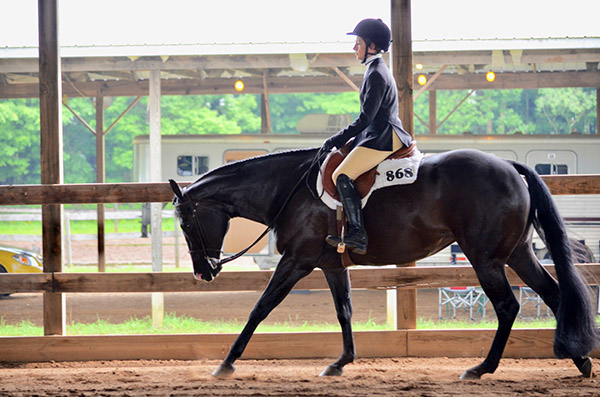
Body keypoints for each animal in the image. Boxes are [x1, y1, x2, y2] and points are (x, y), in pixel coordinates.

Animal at [170, 148, 600, 378]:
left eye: (186, 222)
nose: (204, 272)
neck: (288, 189)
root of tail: (510, 167)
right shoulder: (330, 265)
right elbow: (344, 311)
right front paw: (340, 362)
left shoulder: (297, 260)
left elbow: (260, 308)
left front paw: (226, 362)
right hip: (517, 254)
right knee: (553, 295)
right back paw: (579, 360)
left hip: (486, 259)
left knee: (508, 305)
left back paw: (482, 368)